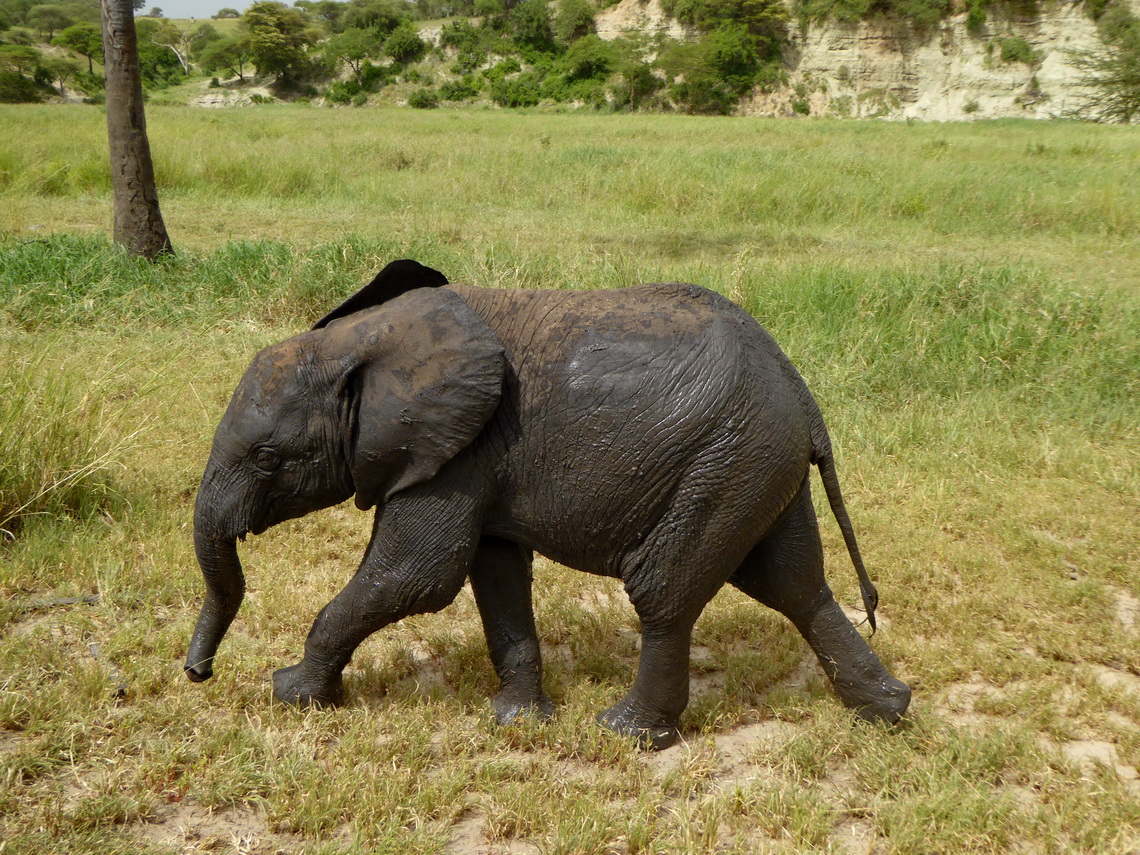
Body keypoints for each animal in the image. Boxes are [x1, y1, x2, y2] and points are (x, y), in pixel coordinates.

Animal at [189, 259, 916, 747]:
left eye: (267, 458)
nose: (198, 673)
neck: (367, 339)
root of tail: (801, 393)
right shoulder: (477, 457)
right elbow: (494, 572)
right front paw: (518, 720)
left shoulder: (457, 451)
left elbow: (415, 576)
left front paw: (292, 693)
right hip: (758, 465)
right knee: (794, 584)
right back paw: (888, 712)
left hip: (725, 459)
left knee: (664, 591)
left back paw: (626, 734)